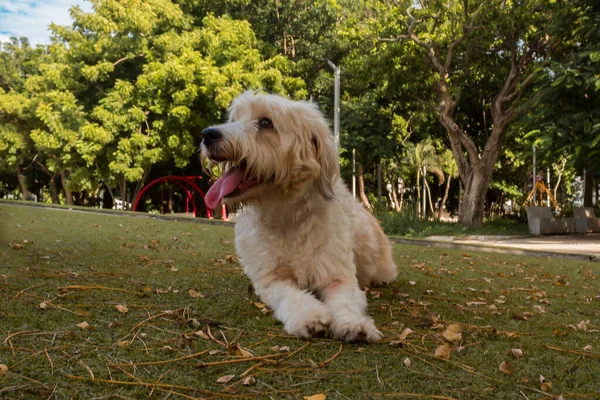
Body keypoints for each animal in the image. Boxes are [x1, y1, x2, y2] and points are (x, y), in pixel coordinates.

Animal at [202, 92, 398, 342]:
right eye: (235, 119)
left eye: (265, 122)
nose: (207, 134)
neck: (286, 216)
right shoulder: (272, 279)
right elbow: (293, 297)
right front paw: (310, 317)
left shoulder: (337, 276)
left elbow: (344, 302)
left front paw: (353, 324)